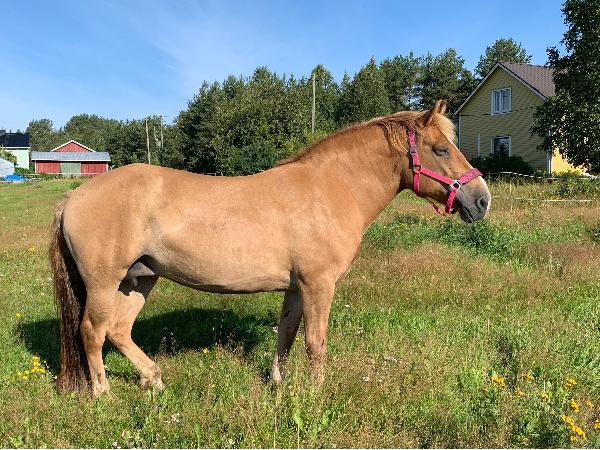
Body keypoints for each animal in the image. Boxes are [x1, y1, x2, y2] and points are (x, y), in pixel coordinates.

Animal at [49, 100, 491, 396]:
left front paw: (279, 384)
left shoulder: (297, 288)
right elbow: (315, 343)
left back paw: (153, 379)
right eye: (440, 149)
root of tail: (73, 198)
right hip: (105, 283)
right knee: (92, 331)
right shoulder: (318, 285)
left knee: (118, 331)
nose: (482, 199)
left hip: (139, 279)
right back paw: (104, 395)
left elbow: (287, 335)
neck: (331, 189)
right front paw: (315, 395)